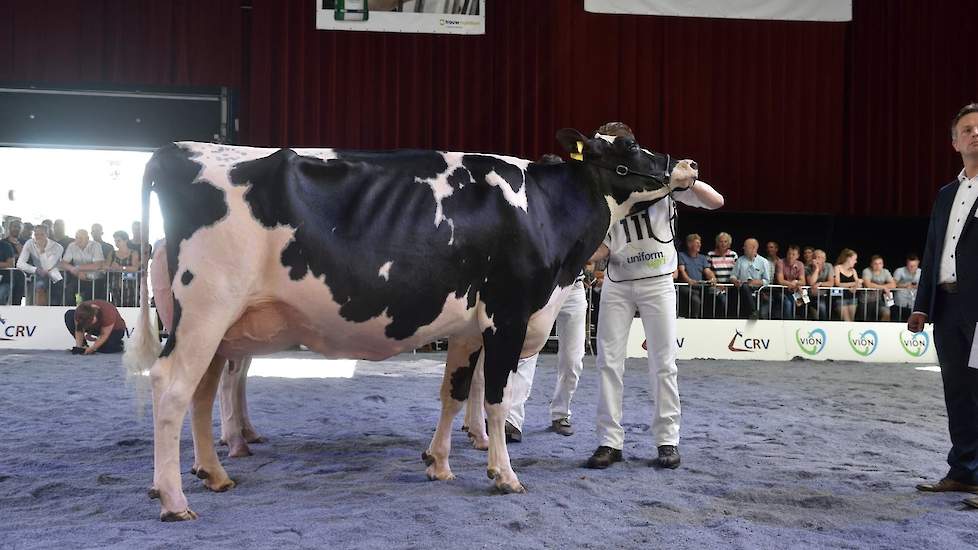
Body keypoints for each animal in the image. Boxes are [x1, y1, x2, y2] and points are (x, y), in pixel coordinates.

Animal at [127, 129, 692, 520]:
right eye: (628, 145)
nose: (680, 162)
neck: (541, 211)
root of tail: (179, 149)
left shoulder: (467, 327)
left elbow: (454, 393)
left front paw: (438, 463)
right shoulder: (507, 315)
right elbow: (495, 398)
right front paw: (503, 475)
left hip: (217, 324)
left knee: (201, 392)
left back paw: (214, 473)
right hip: (207, 309)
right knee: (173, 388)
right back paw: (174, 498)